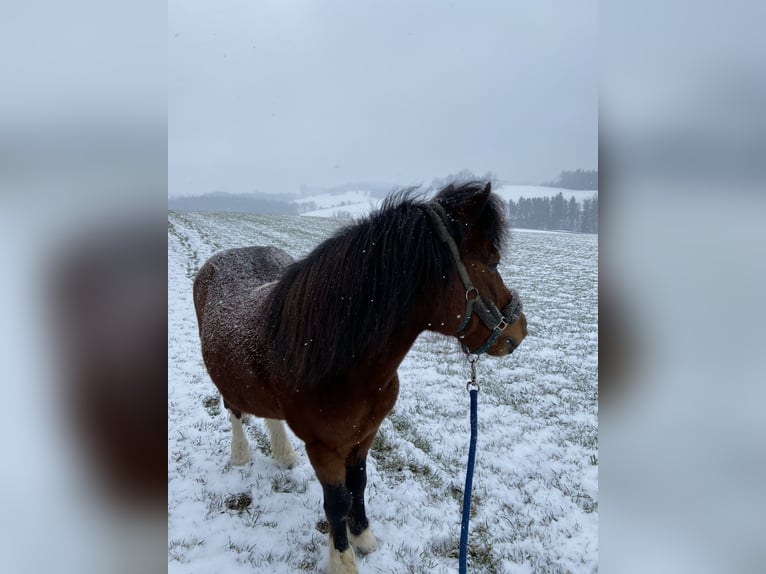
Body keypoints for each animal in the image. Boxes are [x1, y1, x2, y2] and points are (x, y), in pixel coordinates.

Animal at [194, 182, 528, 574]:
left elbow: (359, 484)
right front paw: (342, 559)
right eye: (492, 261)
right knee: (234, 410)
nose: (519, 330)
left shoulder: (365, 435)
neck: (345, 365)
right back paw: (241, 454)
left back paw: (283, 454)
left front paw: (364, 536)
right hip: (228, 383)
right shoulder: (322, 448)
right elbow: (336, 501)